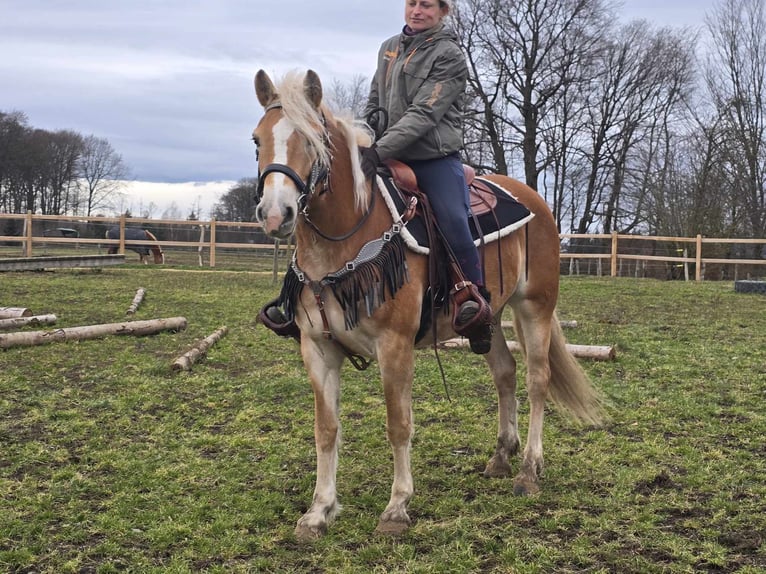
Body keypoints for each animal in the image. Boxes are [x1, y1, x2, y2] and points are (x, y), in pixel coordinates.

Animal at [255, 70, 604, 544]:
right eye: (257, 140)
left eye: (313, 142)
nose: (276, 214)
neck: (345, 242)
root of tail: (532, 199)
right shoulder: (318, 349)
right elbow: (326, 430)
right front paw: (318, 511)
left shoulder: (394, 346)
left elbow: (398, 424)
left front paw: (397, 506)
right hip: (487, 316)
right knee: (505, 374)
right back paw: (501, 456)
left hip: (535, 307)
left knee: (537, 379)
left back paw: (529, 470)